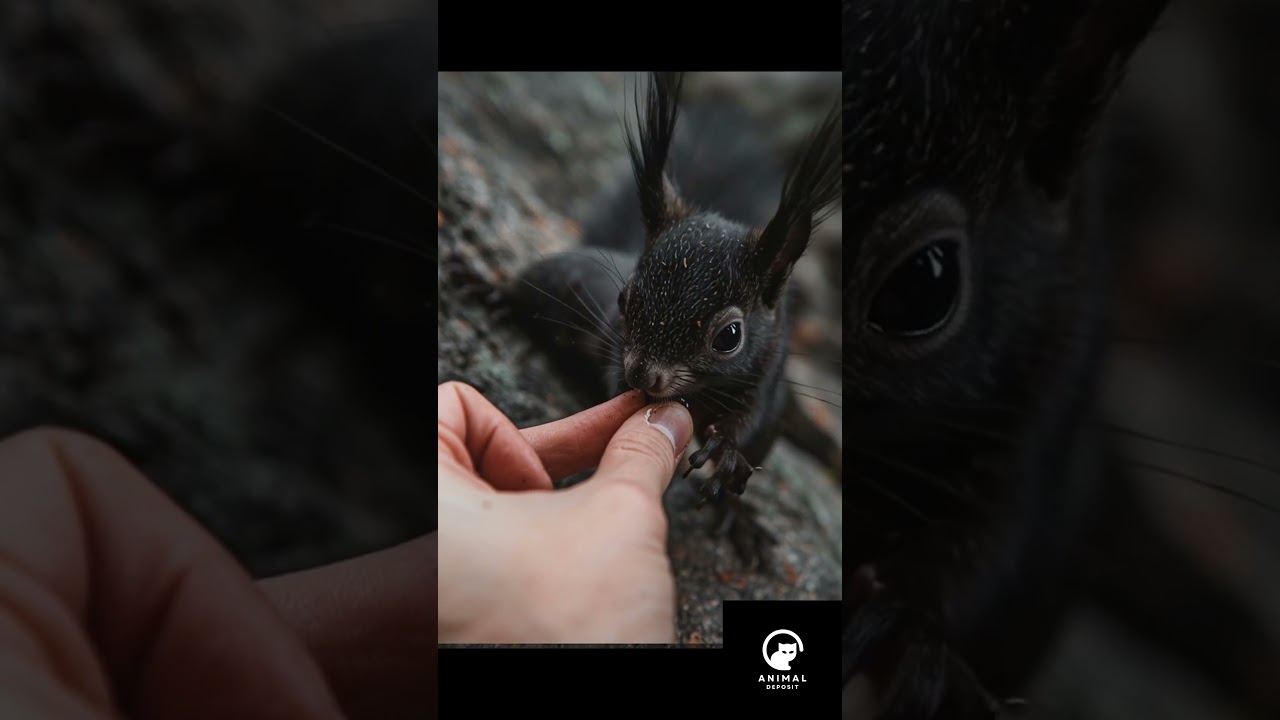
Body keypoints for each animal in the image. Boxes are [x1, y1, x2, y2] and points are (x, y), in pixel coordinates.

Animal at [510, 72, 841, 569]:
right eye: (625, 298)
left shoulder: (766, 378)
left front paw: (726, 450)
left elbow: (749, 423)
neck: (696, 396)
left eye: (729, 336)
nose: (642, 376)